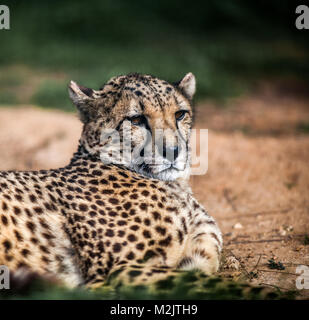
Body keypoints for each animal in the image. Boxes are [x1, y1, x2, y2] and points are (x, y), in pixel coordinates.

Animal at [0, 72, 221, 288]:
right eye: (136, 119)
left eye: (179, 114)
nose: (173, 151)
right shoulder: (118, 271)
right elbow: (213, 283)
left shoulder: (198, 257)